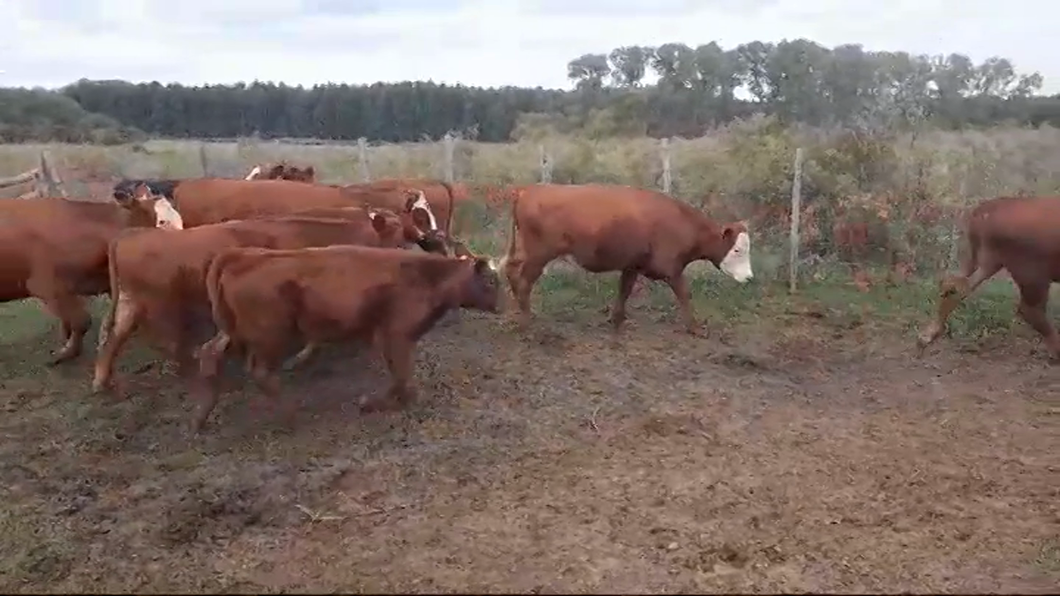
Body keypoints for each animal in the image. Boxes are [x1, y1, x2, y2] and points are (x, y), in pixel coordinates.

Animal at [90, 206, 409, 392]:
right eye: (397, 235)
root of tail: (130, 236)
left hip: (130, 303)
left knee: (114, 339)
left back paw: (102, 381)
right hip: (157, 305)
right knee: (164, 342)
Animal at [191, 246, 500, 430]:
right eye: (490, 281)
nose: (501, 305)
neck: (425, 276)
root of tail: (244, 256)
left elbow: (399, 375)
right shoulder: (397, 335)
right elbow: (401, 375)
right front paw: (378, 403)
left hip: (233, 332)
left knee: (210, 354)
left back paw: (201, 416)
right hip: (270, 338)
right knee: (260, 372)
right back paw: (291, 414)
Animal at [491, 184, 750, 335]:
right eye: (737, 250)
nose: (749, 277)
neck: (682, 223)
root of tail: (529, 190)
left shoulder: (632, 265)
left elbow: (624, 290)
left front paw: (616, 321)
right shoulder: (672, 270)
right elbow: (685, 295)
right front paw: (695, 328)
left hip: (526, 251)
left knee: (511, 270)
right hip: (539, 254)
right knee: (524, 281)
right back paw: (526, 322)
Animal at [915, 195, 1060, 356]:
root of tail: (985, 209)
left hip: (991, 262)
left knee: (955, 285)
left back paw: (926, 336)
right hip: (1031, 274)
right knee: (1031, 310)